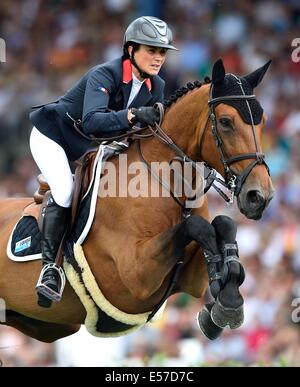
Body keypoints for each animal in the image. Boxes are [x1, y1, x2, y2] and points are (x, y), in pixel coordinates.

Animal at [0, 58, 274, 342]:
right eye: (225, 121)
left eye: (263, 120)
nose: (258, 196)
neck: (168, 185)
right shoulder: (135, 276)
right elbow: (196, 226)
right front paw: (226, 302)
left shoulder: (191, 281)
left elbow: (222, 225)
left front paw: (224, 304)